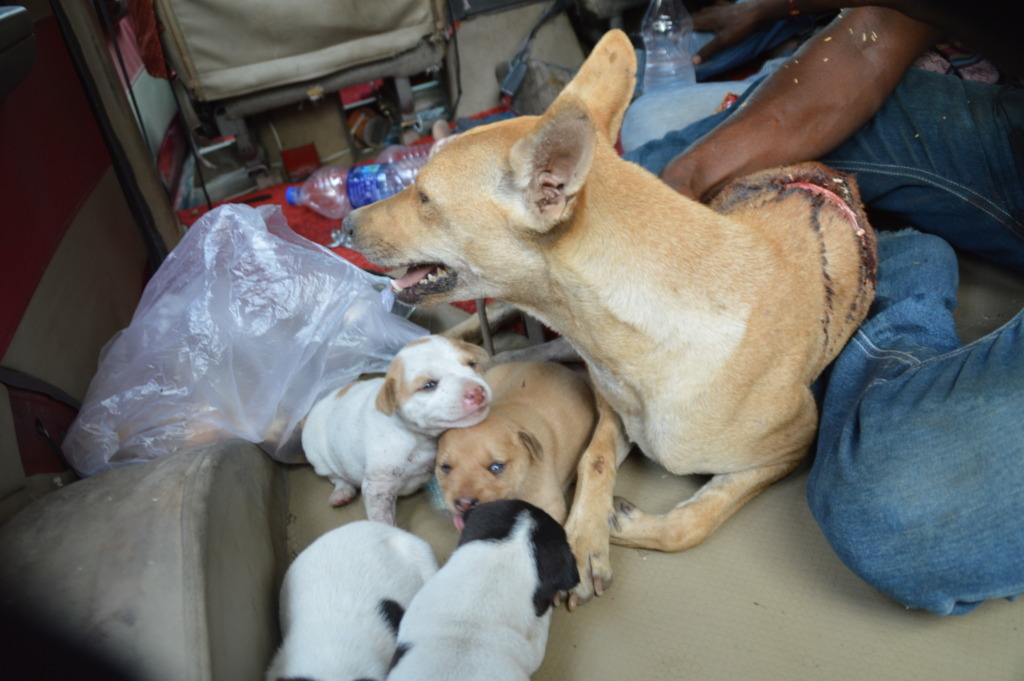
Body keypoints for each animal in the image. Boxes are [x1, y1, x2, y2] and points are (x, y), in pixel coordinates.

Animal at [302, 334, 492, 525]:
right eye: (429, 385)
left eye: (472, 364)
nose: (477, 391)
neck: (419, 438)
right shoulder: (377, 487)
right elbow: (382, 519)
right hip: (318, 458)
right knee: (335, 476)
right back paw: (341, 492)